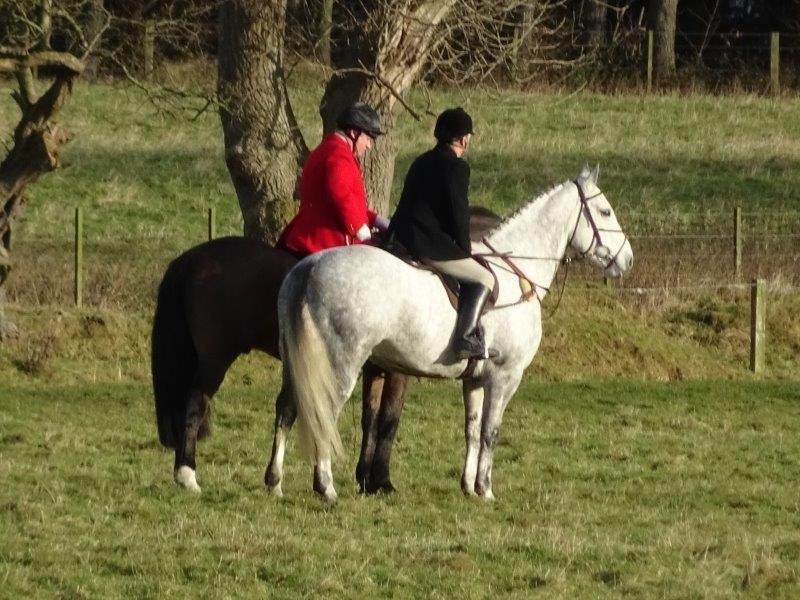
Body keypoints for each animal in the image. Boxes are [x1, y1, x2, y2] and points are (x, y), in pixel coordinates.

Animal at [151, 209, 501, 494]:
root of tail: (191, 258)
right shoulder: (398, 371)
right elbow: (388, 421)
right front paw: (381, 481)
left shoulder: (374, 368)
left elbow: (369, 419)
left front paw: (365, 479)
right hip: (216, 358)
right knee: (195, 403)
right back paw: (188, 475)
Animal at [267, 166, 634, 501]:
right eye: (605, 211)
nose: (628, 260)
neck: (515, 274)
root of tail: (309, 267)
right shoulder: (506, 375)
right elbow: (490, 432)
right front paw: (485, 489)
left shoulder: (475, 378)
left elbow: (471, 429)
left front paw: (468, 487)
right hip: (340, 363)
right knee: (323, 413)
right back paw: (325, 486)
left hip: (299, 364)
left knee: (286, 408)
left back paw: (275, 482)